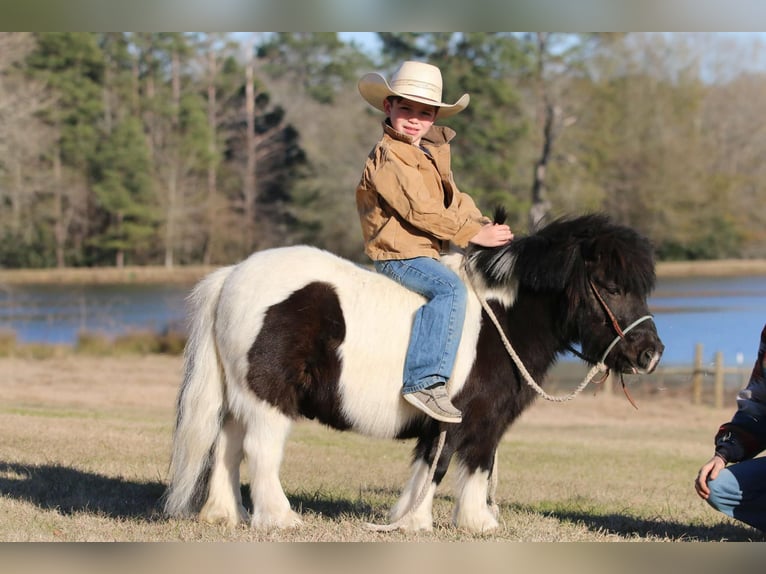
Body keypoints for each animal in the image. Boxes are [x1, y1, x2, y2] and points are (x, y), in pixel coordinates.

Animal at [164, 213, 664, 536]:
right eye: (613, 288)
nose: (651, 353)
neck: (500, 319)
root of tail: (233, 276)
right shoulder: (466, 418)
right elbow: (457, 465)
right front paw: (451, 522)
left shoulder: (458, 422)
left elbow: (446, 465)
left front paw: (425, 520)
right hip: (268, 398)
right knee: (259, 450)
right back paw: (279, 518)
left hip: (240, 395)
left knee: (226, 446)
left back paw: (224, 516)